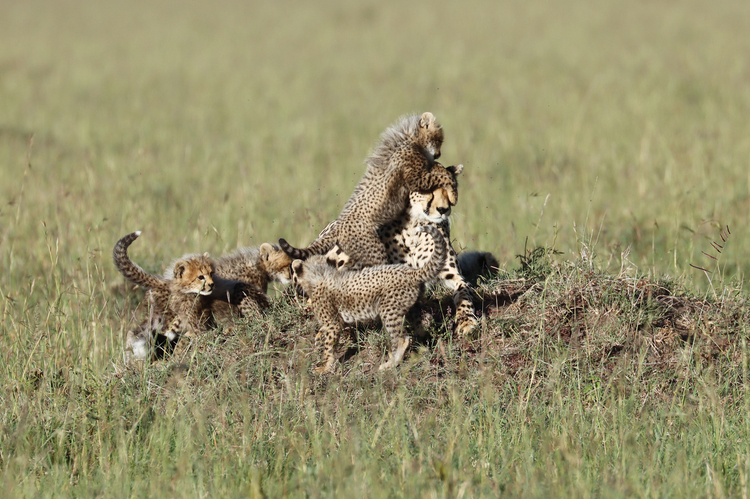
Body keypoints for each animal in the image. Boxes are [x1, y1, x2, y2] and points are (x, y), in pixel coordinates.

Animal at [280, 112, 462, 272]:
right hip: (374, 250)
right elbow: (441, 176)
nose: (438, 154)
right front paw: (453, 190)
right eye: (439, 139)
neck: (409, 138)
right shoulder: (416, 177)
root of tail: (338, 228)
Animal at [292, 225, 446, 374]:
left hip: (389, 311)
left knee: (402, 339)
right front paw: (319, 335)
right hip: (409, 306)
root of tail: (410, 272)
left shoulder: (333, 323)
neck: (320, 274)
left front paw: (325, 367)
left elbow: (329, 346)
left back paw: (390, 363)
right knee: (421, 324)